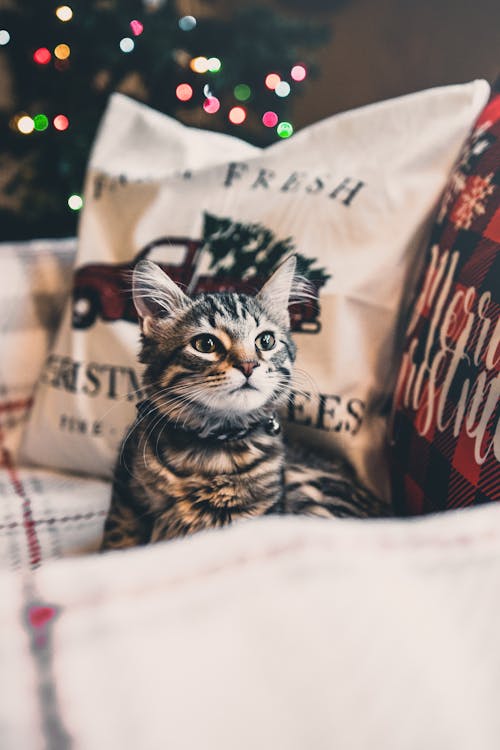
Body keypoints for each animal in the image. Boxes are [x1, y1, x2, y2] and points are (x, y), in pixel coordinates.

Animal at [99, 258, 384, 552]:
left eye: (265, 341)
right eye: (205, 344)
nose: (248, 365)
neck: (212, 450)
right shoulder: (125, 497)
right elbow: (118, 542)